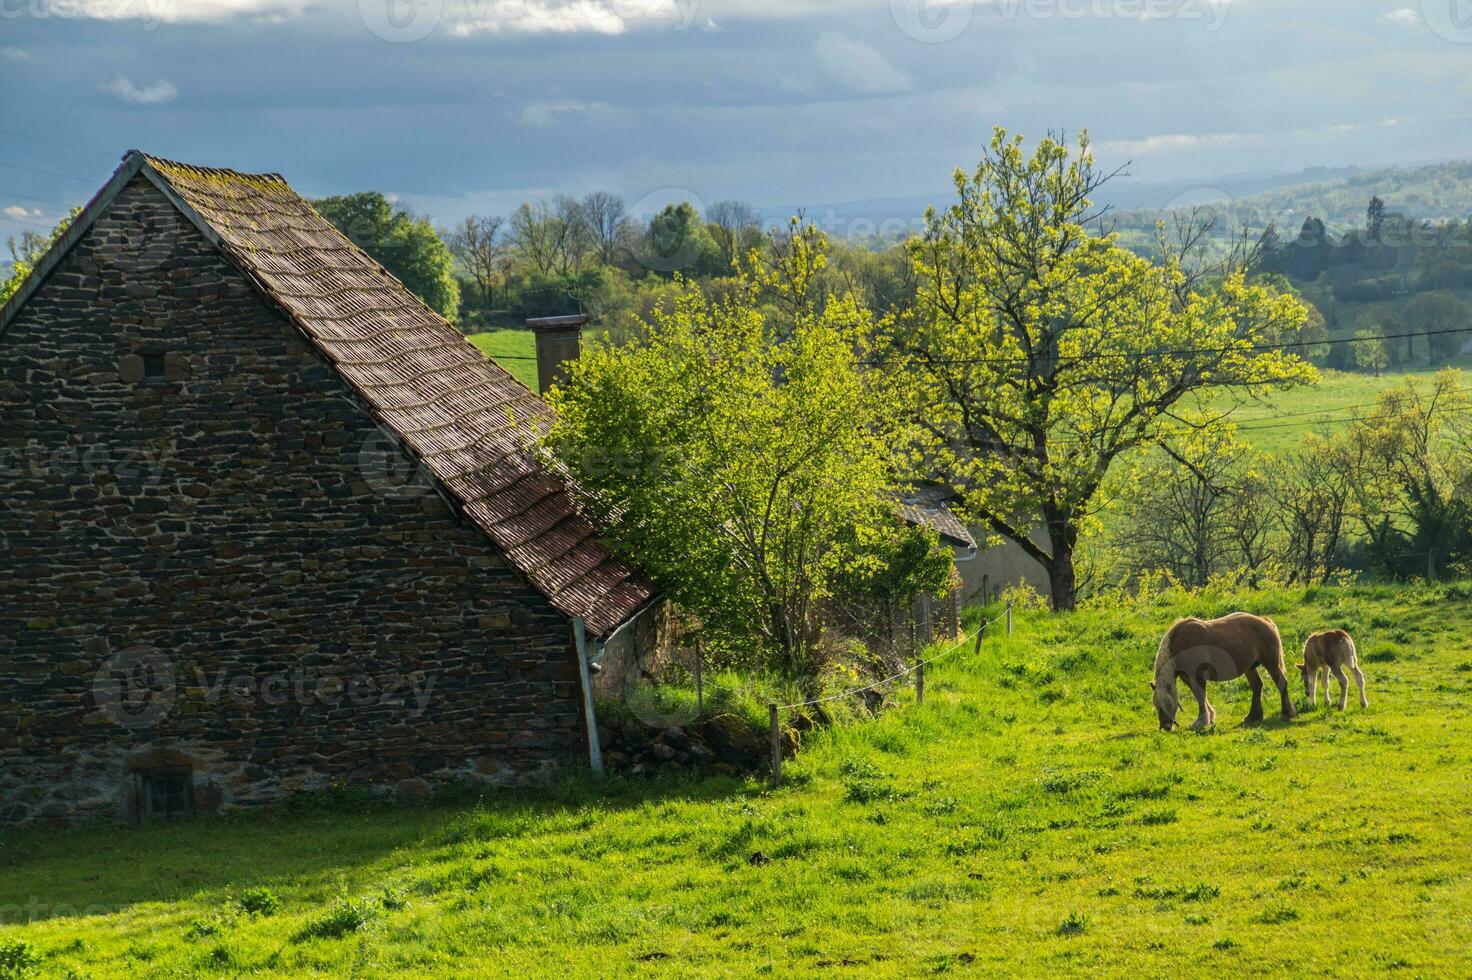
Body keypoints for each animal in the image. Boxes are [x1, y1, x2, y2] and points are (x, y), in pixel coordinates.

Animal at [1154, 612, 1295, 723]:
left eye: (1167, 703)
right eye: (1156, 705)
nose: (1165, 726)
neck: (1182, 643)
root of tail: (1266, 621)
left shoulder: (1197, 675)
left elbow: (1200, 696)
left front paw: (1202, 721)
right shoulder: (1187, 677)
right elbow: (1199, 696)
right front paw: (1209, 717)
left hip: (1271, 664)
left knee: (1281, 683)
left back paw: (1286, 713)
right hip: (1250, 668)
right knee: (1257, 686)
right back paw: (1253, 716)